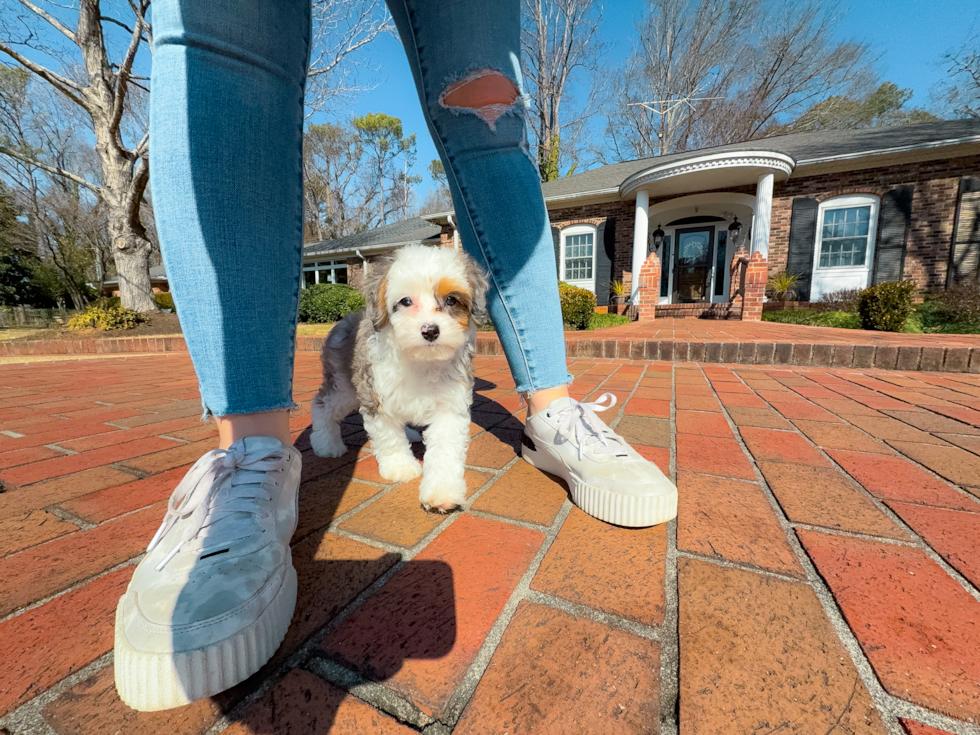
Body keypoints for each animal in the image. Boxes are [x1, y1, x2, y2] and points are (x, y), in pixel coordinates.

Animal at [310, 244, 490, 516]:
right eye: (405, 301)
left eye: (451, 300)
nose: (430, 331)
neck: (420, 359)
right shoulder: (376, 395)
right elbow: (388, 436)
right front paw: (400, 467)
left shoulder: (451, 405)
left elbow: (446, 449)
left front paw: (442, 491)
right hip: (344, 386)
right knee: (322, 405)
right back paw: (326, 444)